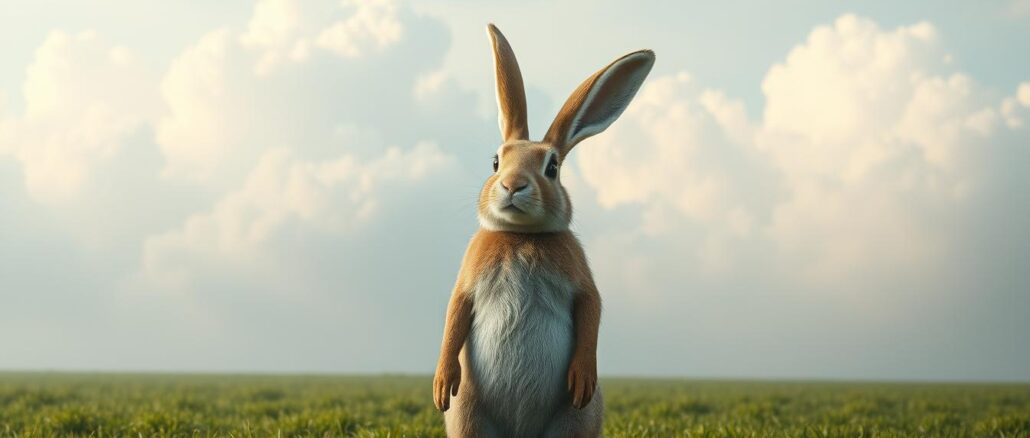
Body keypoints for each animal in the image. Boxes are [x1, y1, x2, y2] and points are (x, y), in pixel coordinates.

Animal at [433, 24, 654, 438]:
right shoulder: (468, 280)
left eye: (552, 168)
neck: (523, 237)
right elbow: (455, 314)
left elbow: (591, 306)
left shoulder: (580, 279)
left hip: (572, 421)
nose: (512, 185)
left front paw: (582, 378)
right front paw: (441, 386)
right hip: (470, 412)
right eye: (496, 162)